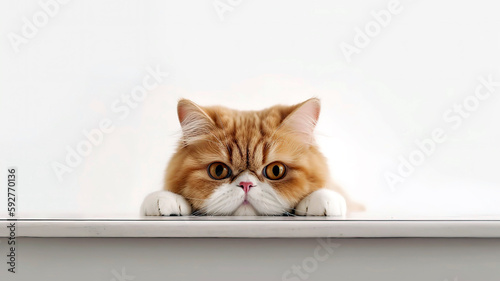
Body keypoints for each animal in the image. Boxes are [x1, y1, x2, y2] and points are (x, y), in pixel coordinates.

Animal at [141, 97, 364, 215]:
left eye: (276, 170)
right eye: (218, 170)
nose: (246, 185)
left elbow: (327, 192)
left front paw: (322, 199)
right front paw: (165, 199)